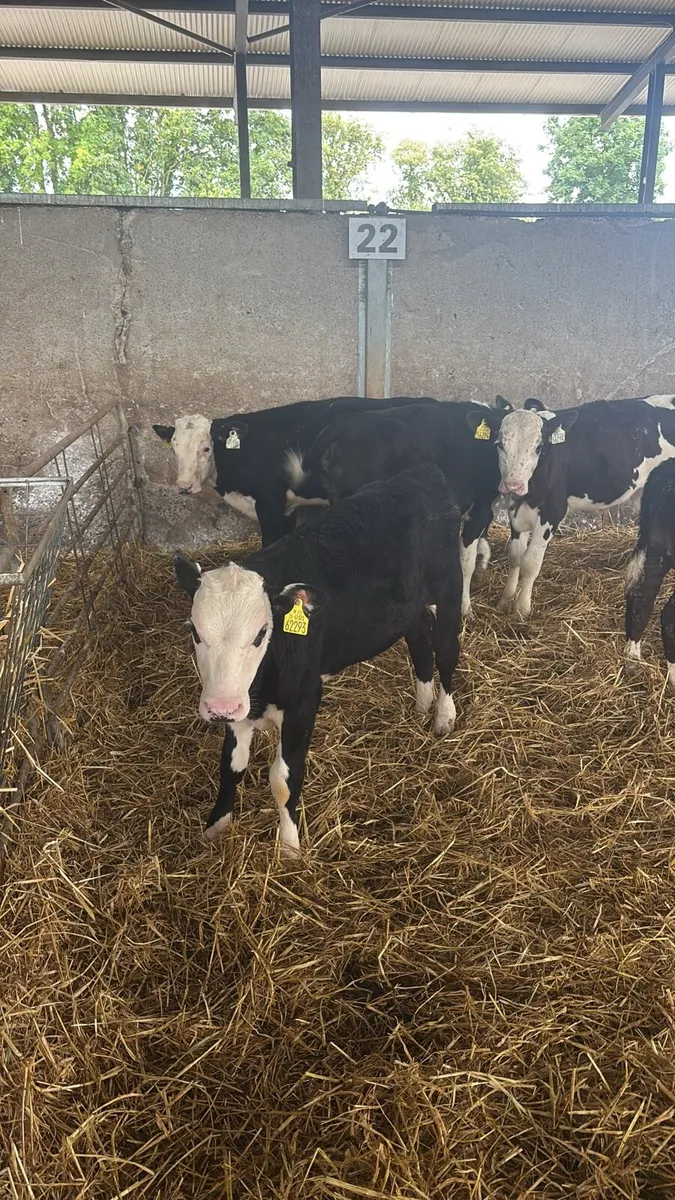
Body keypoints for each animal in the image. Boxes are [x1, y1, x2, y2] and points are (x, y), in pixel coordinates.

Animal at [173, 464, 463, 855]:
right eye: (195, 631)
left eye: (261, 633)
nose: (219, 707)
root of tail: (422, 473)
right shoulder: (240, 705)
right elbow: (231, 767)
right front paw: (215, 828)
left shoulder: (303, 702)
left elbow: (283, 778)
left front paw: (289, 848)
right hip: (408, 607)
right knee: (419, 638)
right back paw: (422, 704)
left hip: (449, 589)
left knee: (446, 649)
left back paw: (443, 716)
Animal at [475, 395, 675, 621]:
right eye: (499, 444)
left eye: (538, 447)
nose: (513, 484)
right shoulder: (515, 509)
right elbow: (515, 557)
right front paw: (505, 600)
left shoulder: (553, 511)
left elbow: (530, 562)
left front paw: (521, 610)